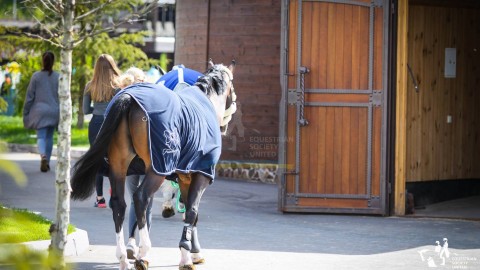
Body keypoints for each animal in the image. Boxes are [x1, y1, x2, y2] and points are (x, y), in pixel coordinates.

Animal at [70, 61, 235, 270]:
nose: (225, 126)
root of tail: (127, 98)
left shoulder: (185, 176)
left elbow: (190, 211)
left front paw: (193, 253)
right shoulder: (201, 174)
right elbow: (192, 212)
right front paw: (187, 256)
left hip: (118, 167)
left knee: (119, 204)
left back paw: (123, 257)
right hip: (157, 169)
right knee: (141, 198)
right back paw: (143, 253)